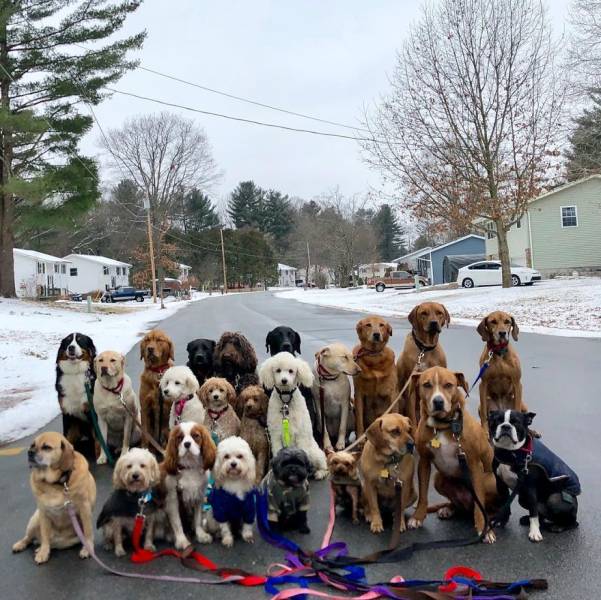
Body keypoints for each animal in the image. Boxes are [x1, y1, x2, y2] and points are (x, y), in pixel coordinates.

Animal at [12, 432, 97, 564]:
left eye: (46, 447)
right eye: (32, 445)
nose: (29, 452)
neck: (58, 483)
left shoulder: (84, 509)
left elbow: (88, 533)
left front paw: (87, 549)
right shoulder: (43, 512)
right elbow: (45, 536)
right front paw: (43, 552)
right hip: (34, 520)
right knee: (30, 538)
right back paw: (22, 545)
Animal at [54, 332, 96, 460]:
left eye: (80, 340)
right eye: (68, 341)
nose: (71, 347)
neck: (75, 372)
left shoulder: (92, 410)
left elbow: (98, 439)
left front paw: (100, 457)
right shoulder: (68, 414)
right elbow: (66, 438)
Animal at [408, 366, 496, 544]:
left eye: (448, 385)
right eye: (426, 385)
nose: (438, 402)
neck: (443, 425)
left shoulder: (474, 465)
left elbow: (480, 502)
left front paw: (483, 529)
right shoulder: (424, 461)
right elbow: (423, 494)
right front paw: (418, 517)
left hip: (489, 479)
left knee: (487, 507)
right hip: (438, 479)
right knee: (457, 505)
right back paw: (448, 509)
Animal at [488, 410, 580, 540]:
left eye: (516, 422)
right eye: (497, 420)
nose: (506, 426)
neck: (510, 452)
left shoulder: (530, 486)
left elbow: (533, 512)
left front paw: (535, 532)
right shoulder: (500, 483)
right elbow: (505, 504)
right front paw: (501, 520)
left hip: (555, 499)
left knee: (572, 522)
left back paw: (558, 526)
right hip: (523, 498)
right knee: (540, 513)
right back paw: (528, 520)